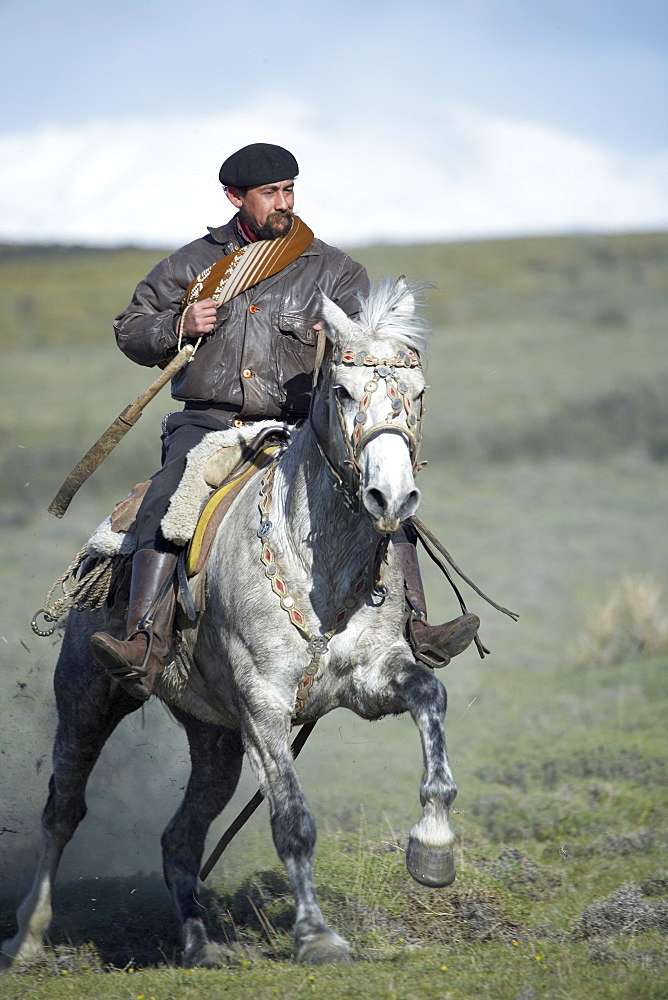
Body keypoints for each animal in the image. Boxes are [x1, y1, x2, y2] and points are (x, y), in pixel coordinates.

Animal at [2, 278, 460, 964]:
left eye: (420, 393)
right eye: (343, 391)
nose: (392, 497)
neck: (317, 567)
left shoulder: (374, 680)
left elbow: (431, 699)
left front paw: (433, 847)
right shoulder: (263, 704)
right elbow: (292, 821)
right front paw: (317, 936)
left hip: (213, 735)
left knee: (179, 838)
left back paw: (198, 944)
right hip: (89, 695)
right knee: (63, 809)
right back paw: (28, 936)